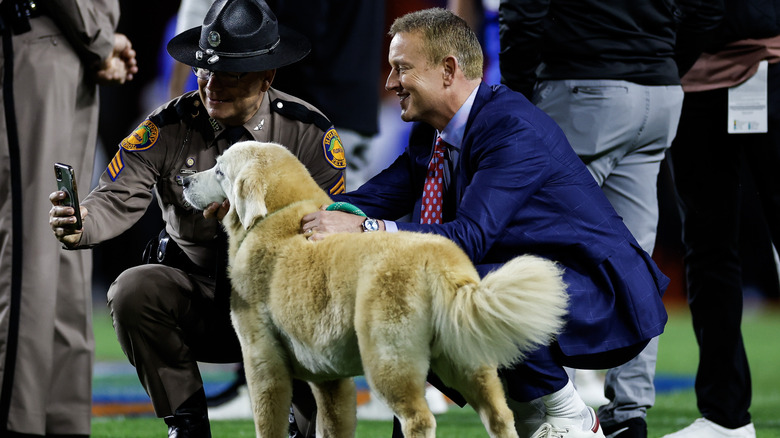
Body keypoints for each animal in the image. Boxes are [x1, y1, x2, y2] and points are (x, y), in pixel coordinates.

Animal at [184, 142, 572, 436]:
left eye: (219, 170)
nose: (183, 179)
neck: (279, 213)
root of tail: (440, 261)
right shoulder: (331, 380)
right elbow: (333, 427)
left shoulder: (262, 361)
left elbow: (269, 425)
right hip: (468, 362)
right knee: (499, 415)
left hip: (388, 361)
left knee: (419, 419)